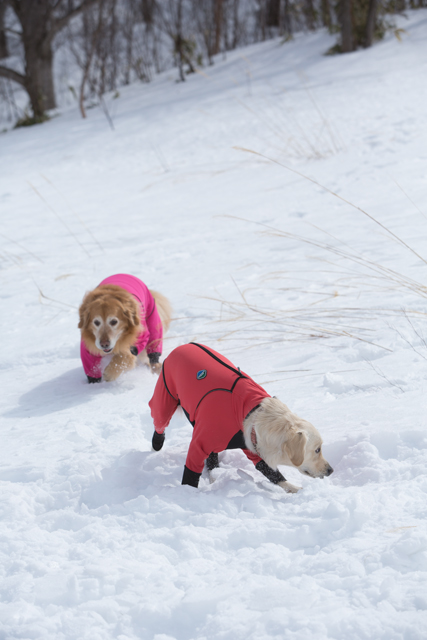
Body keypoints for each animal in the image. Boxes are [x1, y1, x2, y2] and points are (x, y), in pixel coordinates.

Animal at [150, 344, 334, 490]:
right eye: (317, 449)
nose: (331, 470)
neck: (253, 412)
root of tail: (184, 345)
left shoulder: (252, 445)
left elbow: (270, 471)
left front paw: (294, 490)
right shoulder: (199, 444)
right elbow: (191, 473)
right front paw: (188, 492)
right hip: (164, 400)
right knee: (159, 422)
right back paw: (157, 443)